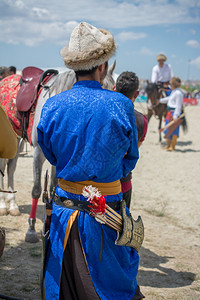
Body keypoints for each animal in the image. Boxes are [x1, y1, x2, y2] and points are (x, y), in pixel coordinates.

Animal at [0, 61, 116, 244]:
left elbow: (54, 189)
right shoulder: (38, 153)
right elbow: (37, 189)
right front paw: (31, 229)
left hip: (17, 139)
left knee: (10, 168)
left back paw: (12, 206)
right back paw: (3, 206)